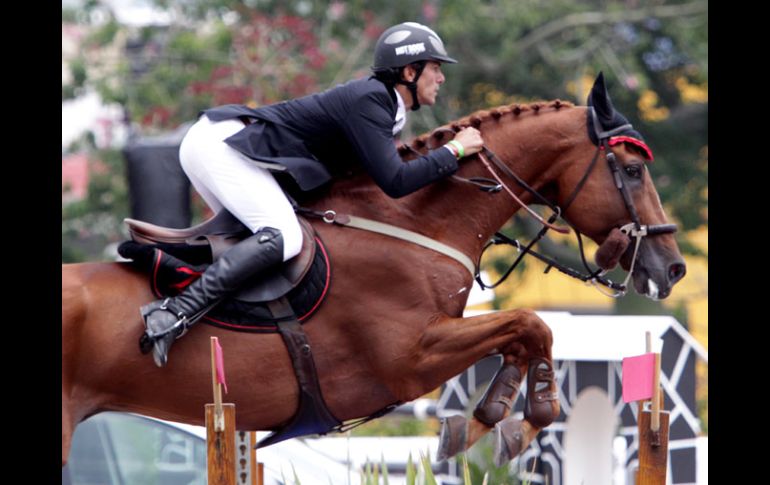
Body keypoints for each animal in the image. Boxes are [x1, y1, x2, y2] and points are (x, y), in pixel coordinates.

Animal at [61, 74, 684, 466]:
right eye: (630, 170)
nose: (674, 269)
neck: (412, 223)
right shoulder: (408, 360)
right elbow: (531, 325)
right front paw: (516, 420)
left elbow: (524, 333)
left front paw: (486, 419)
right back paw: (164, 324)